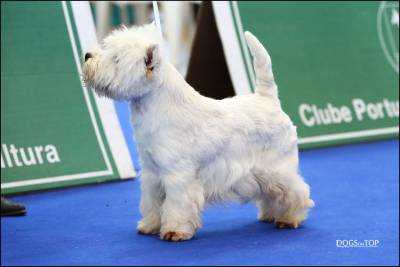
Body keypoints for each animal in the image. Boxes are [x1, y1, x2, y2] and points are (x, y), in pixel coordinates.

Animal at [83, 23, 316, 243]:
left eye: (116, 59)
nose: (87, 56)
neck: (155, 106)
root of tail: (267, 99)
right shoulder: (151, 172)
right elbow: (152, 202)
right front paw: (149, 225)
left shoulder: (177, 175)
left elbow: (176, 204)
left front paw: (174, 231)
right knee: (271, 193)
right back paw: (269, 214)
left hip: (276, 167)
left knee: (296, 190)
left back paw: (289, 218)